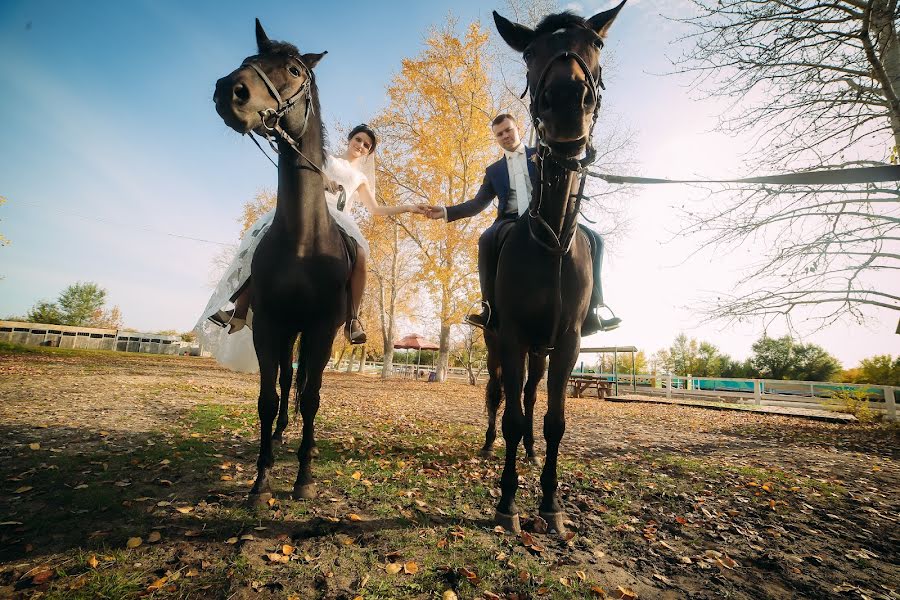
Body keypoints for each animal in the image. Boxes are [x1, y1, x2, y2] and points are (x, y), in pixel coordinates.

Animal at [214, 19, 348, 502]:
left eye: (292, 69)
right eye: (249, 58)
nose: (229, 91)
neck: (303, 241)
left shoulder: (322, 328)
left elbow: (311, 397)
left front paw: (304, 477)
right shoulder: (270, 325)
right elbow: (268, 398)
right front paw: (261, 479)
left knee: (306, 387)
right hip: (287, 331)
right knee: (287, 384)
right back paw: (278, 437)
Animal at [488, 2, 628, 532]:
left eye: (598, 44)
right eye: (529, 51)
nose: (568, 99)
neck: (550, 244)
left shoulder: (566, 342)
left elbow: (555, 421)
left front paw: (550, 502)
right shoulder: (510, 337)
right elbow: (511, 415)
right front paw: (507, 502)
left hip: (542, 350)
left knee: (530, 396)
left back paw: (529, 454)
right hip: (502, 343)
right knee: (501, 395)